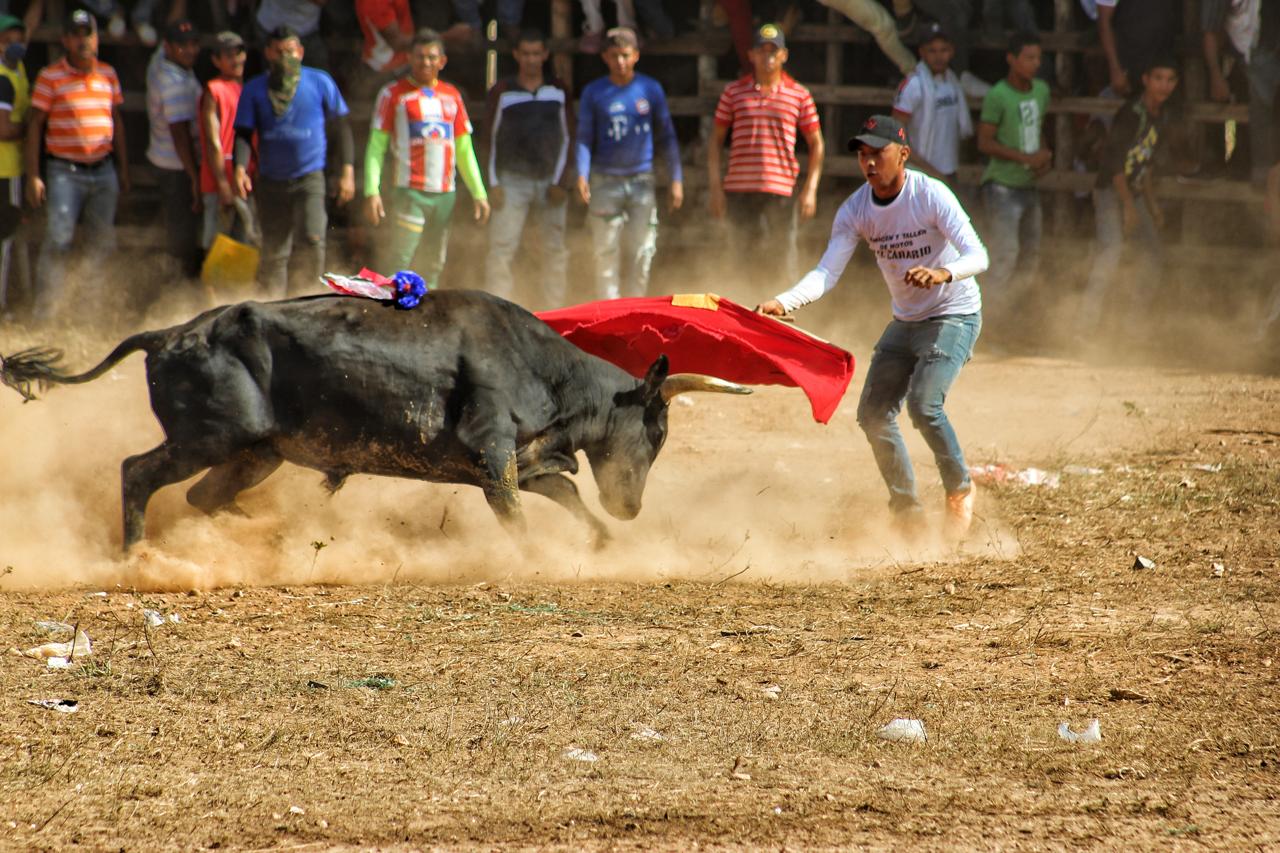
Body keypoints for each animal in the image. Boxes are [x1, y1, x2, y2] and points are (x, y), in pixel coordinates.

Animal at [0, 289, 747, 548]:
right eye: (657, 431)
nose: (631, 507)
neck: (544, 367)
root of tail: (169, 334)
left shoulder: (525, 459)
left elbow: (564, 493)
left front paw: (600, 540)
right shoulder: (493, 453)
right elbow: (517, 511)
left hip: (256, 452)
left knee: (203, 496)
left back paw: (266, 535)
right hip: (207, 437)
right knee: (138, 473)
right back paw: (136, 553)